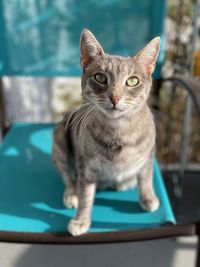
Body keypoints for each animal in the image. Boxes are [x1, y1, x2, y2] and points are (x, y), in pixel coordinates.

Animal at [52, 29, 160, 237]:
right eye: (100, 77)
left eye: (132, 81)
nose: (114, 97)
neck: (118, 132)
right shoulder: (86, 167)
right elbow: (85, 195)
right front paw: (81, 219)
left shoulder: (149, 154)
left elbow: (146, 177)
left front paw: (148, 197)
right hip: (60, 142)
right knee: (67, 176)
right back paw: (71, 194)